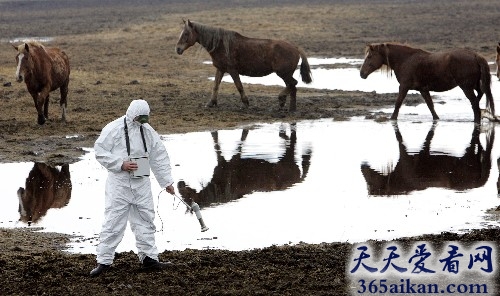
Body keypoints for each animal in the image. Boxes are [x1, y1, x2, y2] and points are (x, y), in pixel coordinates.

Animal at [174, 19, 310, 112]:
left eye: (186, 34)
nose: (178, 49)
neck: (221, 45)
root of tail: (296, 48)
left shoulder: (232, 71)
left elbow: (239, 86)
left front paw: (245, 103)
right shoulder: (221, 69)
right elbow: (215, 86)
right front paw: (211, 103)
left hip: (283, 74)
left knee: (293, 84)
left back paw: (282, 100)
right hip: (285, 74)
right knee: (292, 87)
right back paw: (290, 108)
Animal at [179, 123, 312, 207]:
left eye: (187, 197)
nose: (179, 183)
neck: (220, 188)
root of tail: (298, 180)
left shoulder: (232, 160)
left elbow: (238, 143)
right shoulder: (222, 161)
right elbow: (216, 143)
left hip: (288, 157)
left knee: (293, 142)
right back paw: (283, 134)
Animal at [358, 42, 494, 123]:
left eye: (369, 57)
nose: (362, 73)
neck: (405, 60)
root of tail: (476, 56)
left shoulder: (404, 87)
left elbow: (398, 103)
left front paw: (392, 119)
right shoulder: (423, 89)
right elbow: (430, 106)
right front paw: (436, 119)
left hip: (466, 87)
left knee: (475, 105)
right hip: (474, 85)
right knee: (479, 96)